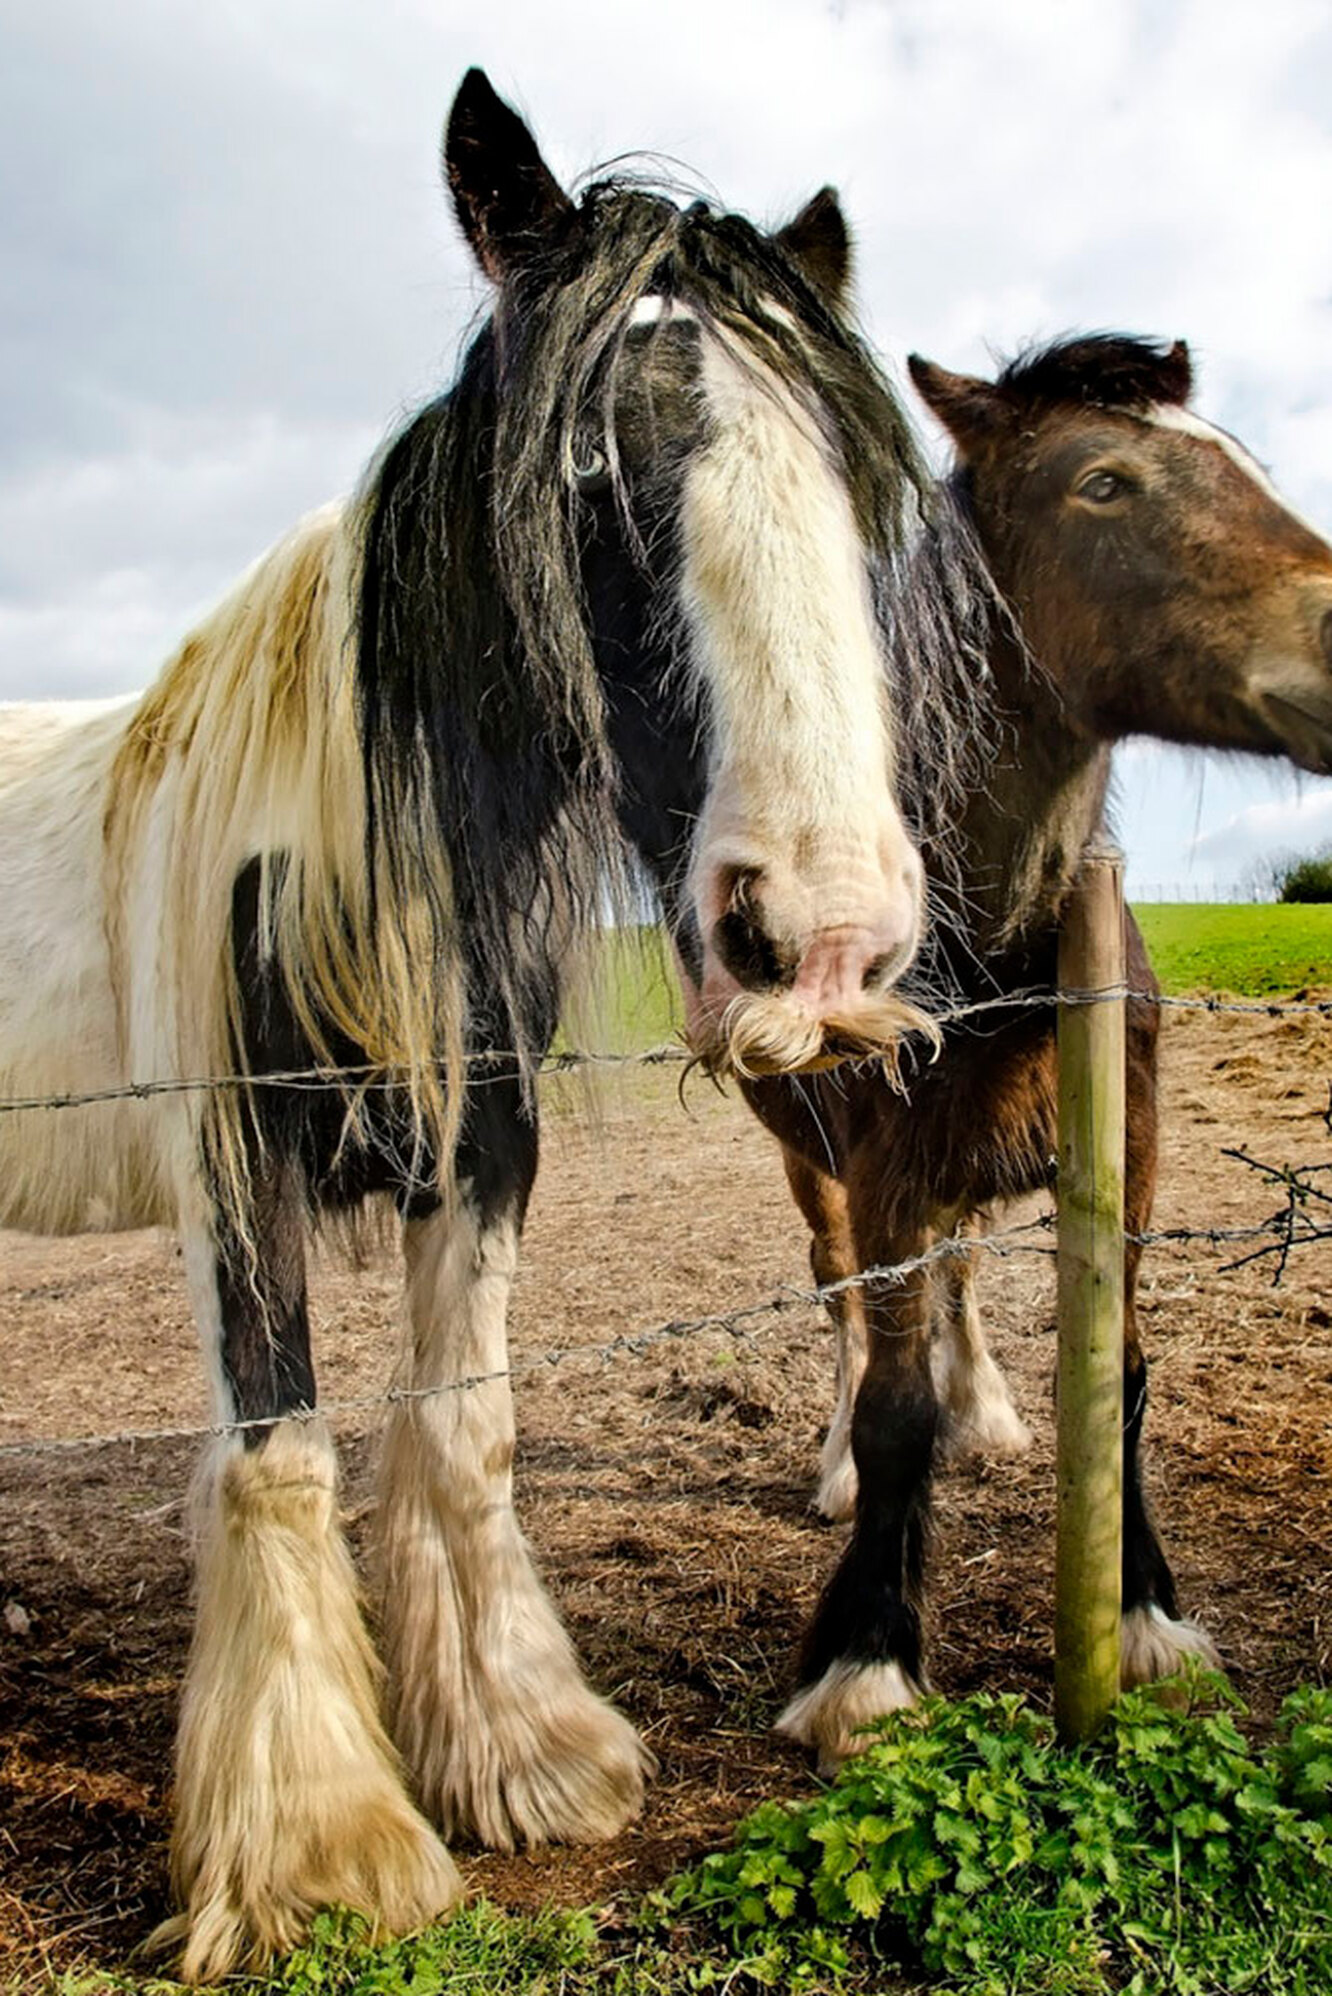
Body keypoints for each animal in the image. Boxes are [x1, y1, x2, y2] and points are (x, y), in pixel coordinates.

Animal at [0, 70, 970, 1988]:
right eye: (585, 468)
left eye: (852, 480)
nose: (823, 938)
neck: (332, 853)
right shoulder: (231, 1175)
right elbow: (280, 1457)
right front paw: (322, 1848)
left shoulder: (484, 1147)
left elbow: (467, 1430)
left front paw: (520, 1753)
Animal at [730, 335, 1332, 1772]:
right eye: (1101, 482)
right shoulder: (882, 1167)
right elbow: (894, 1404)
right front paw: (864, 1659)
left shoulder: (1129, 1146)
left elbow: (1119, 1373)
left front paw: (1147, 1615)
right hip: (813, 1169)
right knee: (844, 1304)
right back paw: (837, 1463)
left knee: (952, 1281)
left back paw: (990, 1413)